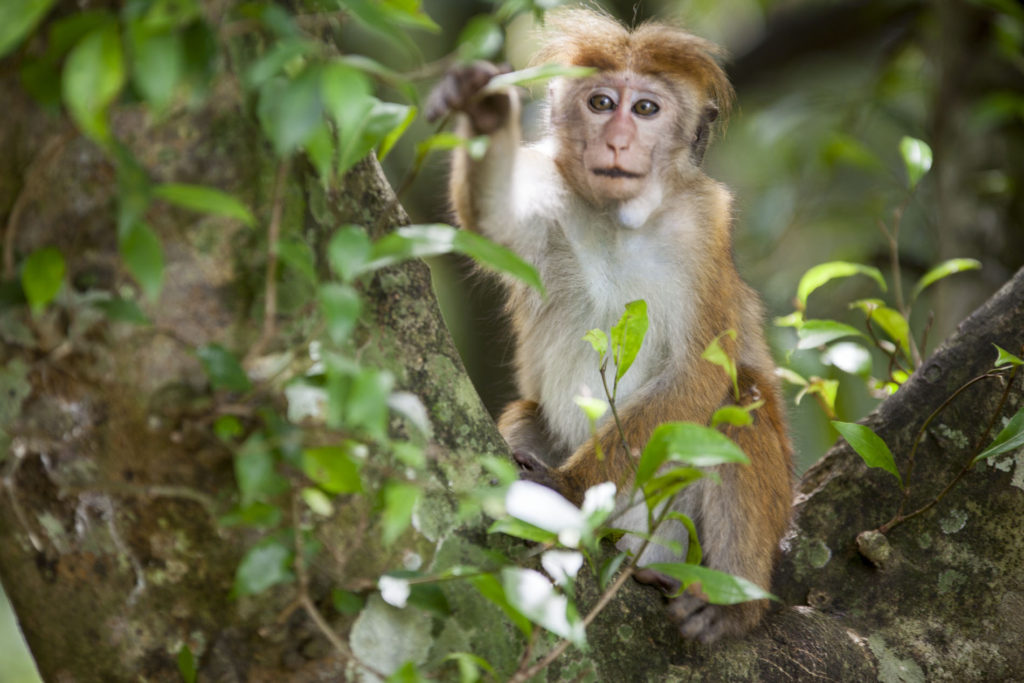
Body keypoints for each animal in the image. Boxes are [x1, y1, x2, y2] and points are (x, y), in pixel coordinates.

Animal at [423, 7, 790, 643]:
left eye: (644, 109)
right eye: (600, 103)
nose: (617, 139)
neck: (623, 222)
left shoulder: (704, 229)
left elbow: (699, 373)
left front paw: (571, 491)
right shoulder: (549, 198)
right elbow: (491, 222)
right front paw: (485, 109)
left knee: (742, 397)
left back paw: (729, 605)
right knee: (527, 416)